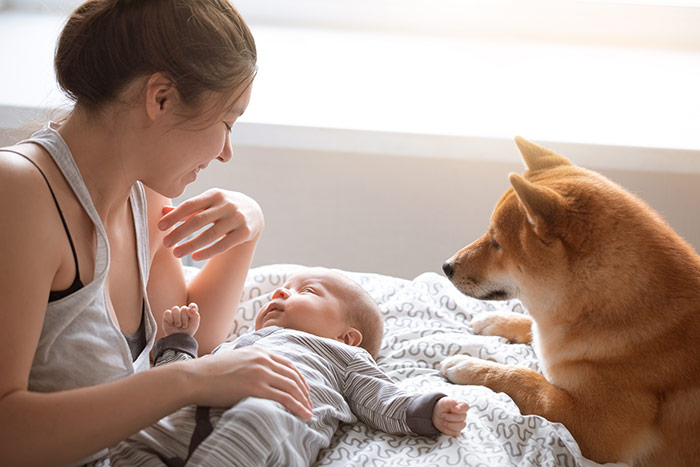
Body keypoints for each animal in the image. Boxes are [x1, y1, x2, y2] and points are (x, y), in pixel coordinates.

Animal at [440, 137, 700, 466]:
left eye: (496, 241)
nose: (446, 266)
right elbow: (528, 326)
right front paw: (496, 320)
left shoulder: (594, 428)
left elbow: (526, 379)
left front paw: (471, 366)